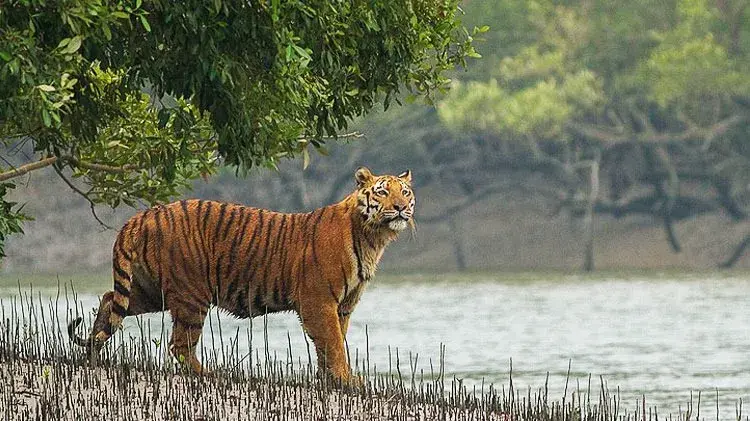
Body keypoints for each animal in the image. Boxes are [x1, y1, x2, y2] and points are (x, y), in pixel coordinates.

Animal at [68, 167, 415, 383]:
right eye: (382, 192)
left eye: (406, 192)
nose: (400, 207)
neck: (373, 237)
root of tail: (143, 215)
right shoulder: (319, 301)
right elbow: (333, 343)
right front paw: (347, 380)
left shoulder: (343, 305)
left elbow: (332, 343)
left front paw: (329, 379)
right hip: (191, 295)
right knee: (179, 345)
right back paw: (208, 375)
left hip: (150, 290)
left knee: (109, 299)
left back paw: (92, 355)